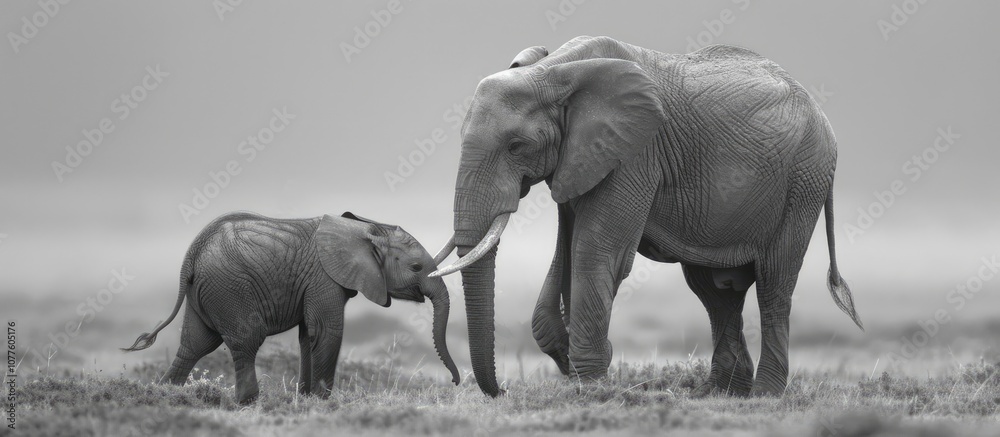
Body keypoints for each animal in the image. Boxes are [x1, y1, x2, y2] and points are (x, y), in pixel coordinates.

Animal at [123, 211, 460, 404]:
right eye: (416, 267)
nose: (456, 383)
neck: (366, 230)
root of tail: (192, 254)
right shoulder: (324, 278)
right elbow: (327, 331)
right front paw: (324, 403)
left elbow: (308, 336)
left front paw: (307, 398)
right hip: (229, 287)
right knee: (246, 339)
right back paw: (248, 402)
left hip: (206, 291)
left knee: (195, 344)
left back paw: (166, 393)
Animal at [430, 36, 863, 397]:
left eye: (516, 146)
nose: (501, 391)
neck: (554, 71)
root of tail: (823, 118)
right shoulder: (580, 160)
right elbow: (567, 255)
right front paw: (572, 359)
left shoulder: (635, 154)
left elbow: (597, 254)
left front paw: (591, 386)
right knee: (716, 290)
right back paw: (718, 393)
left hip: (803, 182)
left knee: (774, 283)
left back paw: (764, 395)